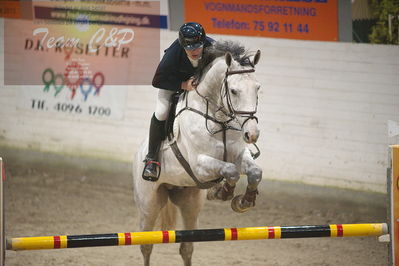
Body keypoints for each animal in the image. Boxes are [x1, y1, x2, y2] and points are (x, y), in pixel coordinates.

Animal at [133, 41, 264, 266]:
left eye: (257, 88)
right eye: (233, 91)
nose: (252, 134)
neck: (218, 119)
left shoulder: (240, 155)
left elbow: (254, 171)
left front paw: (243, 201)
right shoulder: (199, 165)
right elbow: (230, 170)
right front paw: (223, 192)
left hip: (190, 204)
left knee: (186, 247)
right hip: (149, 205)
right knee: (146, 245)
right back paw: (151, 167)